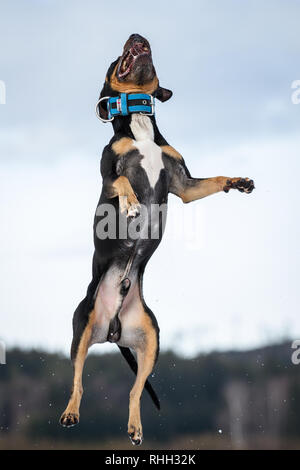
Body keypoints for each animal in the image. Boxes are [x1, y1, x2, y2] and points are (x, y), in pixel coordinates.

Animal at [59, 32, 254, 444]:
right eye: (115, 57)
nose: (136, 35)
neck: (139, 126)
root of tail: (112, 329)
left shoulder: (184, 185)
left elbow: (214, 180)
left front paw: (238, 182)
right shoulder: (108, 175)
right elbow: (122, 182)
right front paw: (133, 205)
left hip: (151, 341)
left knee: (135, 391)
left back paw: (135, 429)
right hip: (81, 331)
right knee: (78, 381)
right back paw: (70, 413)